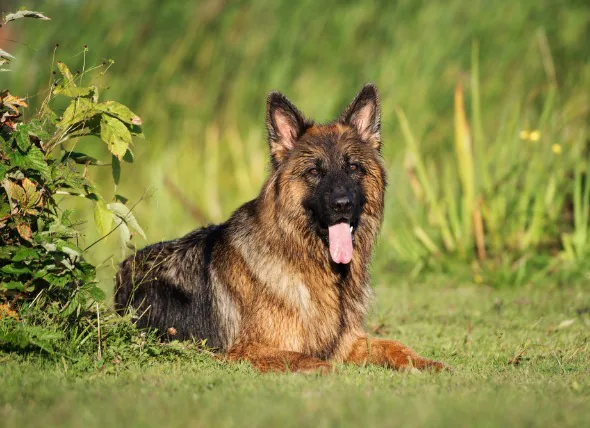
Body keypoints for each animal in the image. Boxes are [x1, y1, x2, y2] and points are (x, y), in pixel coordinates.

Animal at [115, 83, 448, 372]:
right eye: (314, 171)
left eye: (353, 167)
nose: (342, 204)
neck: (311, 265)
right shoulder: (247, 349)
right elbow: (306, 359)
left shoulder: (348, 341)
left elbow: (395, 345)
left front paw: (427, 363)